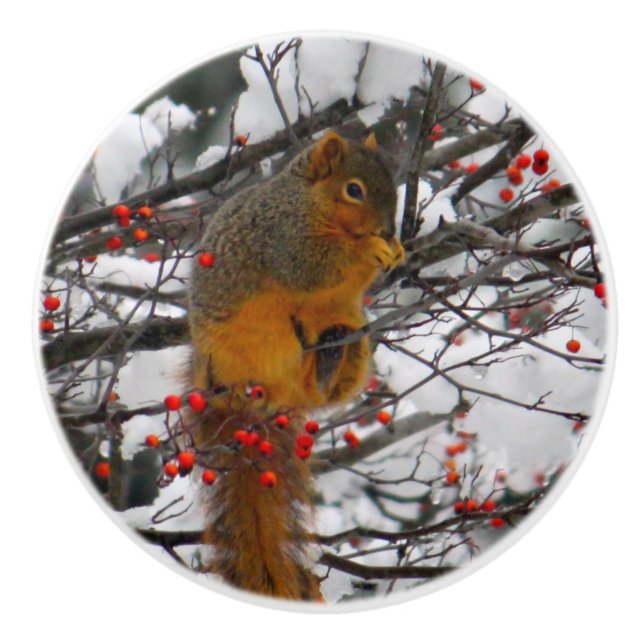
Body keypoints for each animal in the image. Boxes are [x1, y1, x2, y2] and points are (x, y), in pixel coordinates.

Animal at [187, 130, 404, 601]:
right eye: (354, 189)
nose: (388, 230)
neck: (310, 199)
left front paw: (395, 250)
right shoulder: (283, 235)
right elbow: (311, 265)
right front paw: (369, 248)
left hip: (353, 333)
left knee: (327, 389)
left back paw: (330, 357)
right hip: (228, 358)